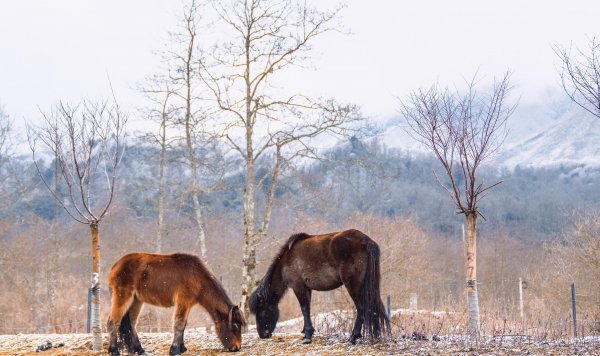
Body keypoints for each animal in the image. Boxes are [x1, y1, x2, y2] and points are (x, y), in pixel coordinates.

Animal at [106, 252, 245, 354]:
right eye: (235, 325)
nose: (237, 347)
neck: (197, 275)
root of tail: (115, 266)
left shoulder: (188, 304)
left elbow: (183, 325)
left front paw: (182, 348)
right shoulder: (183, 301)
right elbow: (179, 324)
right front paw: (175, 350)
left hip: (136, 301)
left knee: (132, 324)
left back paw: (140, 350)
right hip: (123, 297)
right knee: (113, 322)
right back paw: (114, 351)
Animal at [248, 229, 390, 344]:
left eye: (261, 310)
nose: (262, 335)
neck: (287, 258)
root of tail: (366, 241)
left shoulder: (298, 286)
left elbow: (304, 308)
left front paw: (307, 336)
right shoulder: (307, 288)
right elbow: (307, 309)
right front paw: (305, 332)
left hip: (353, 286)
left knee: (361, 308)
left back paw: (353, 337)